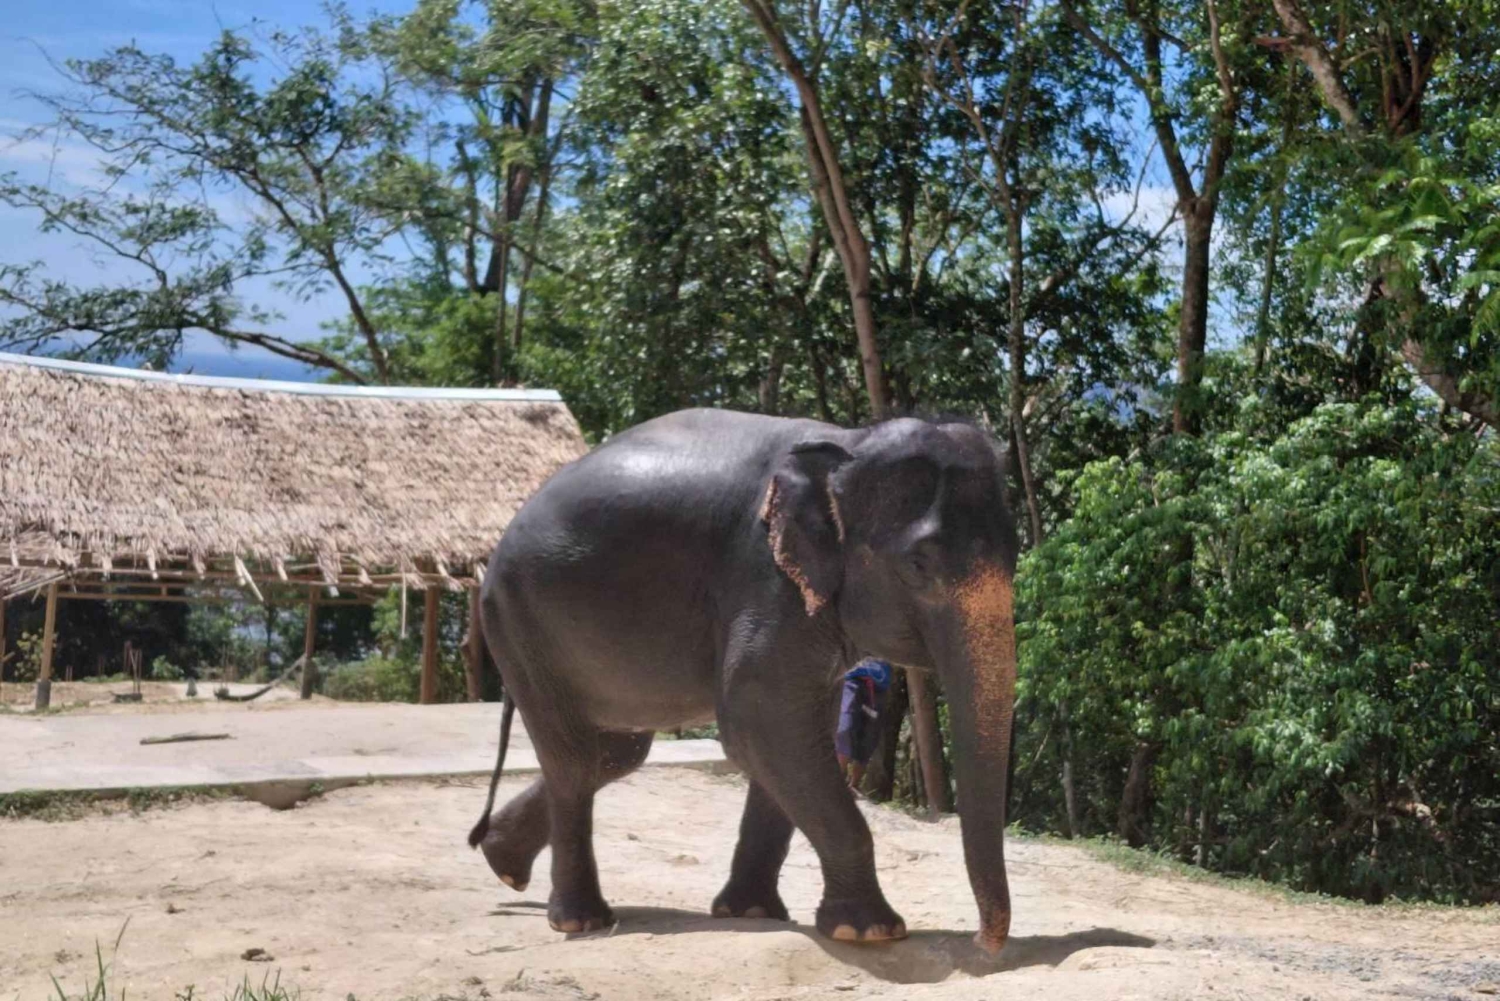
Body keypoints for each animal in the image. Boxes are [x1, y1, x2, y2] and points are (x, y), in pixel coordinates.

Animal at [466, 408, 1019, 953]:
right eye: (919, 564)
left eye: (1016, 555)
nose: (983, 943)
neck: (849, 442)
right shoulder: (765, 578)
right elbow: (761, 722)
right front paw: (869, 932)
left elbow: (788, 736)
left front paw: (754, 913)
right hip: (520, 622)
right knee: (576, 761)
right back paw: (580, 921)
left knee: (615, 754)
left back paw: (503, 865)